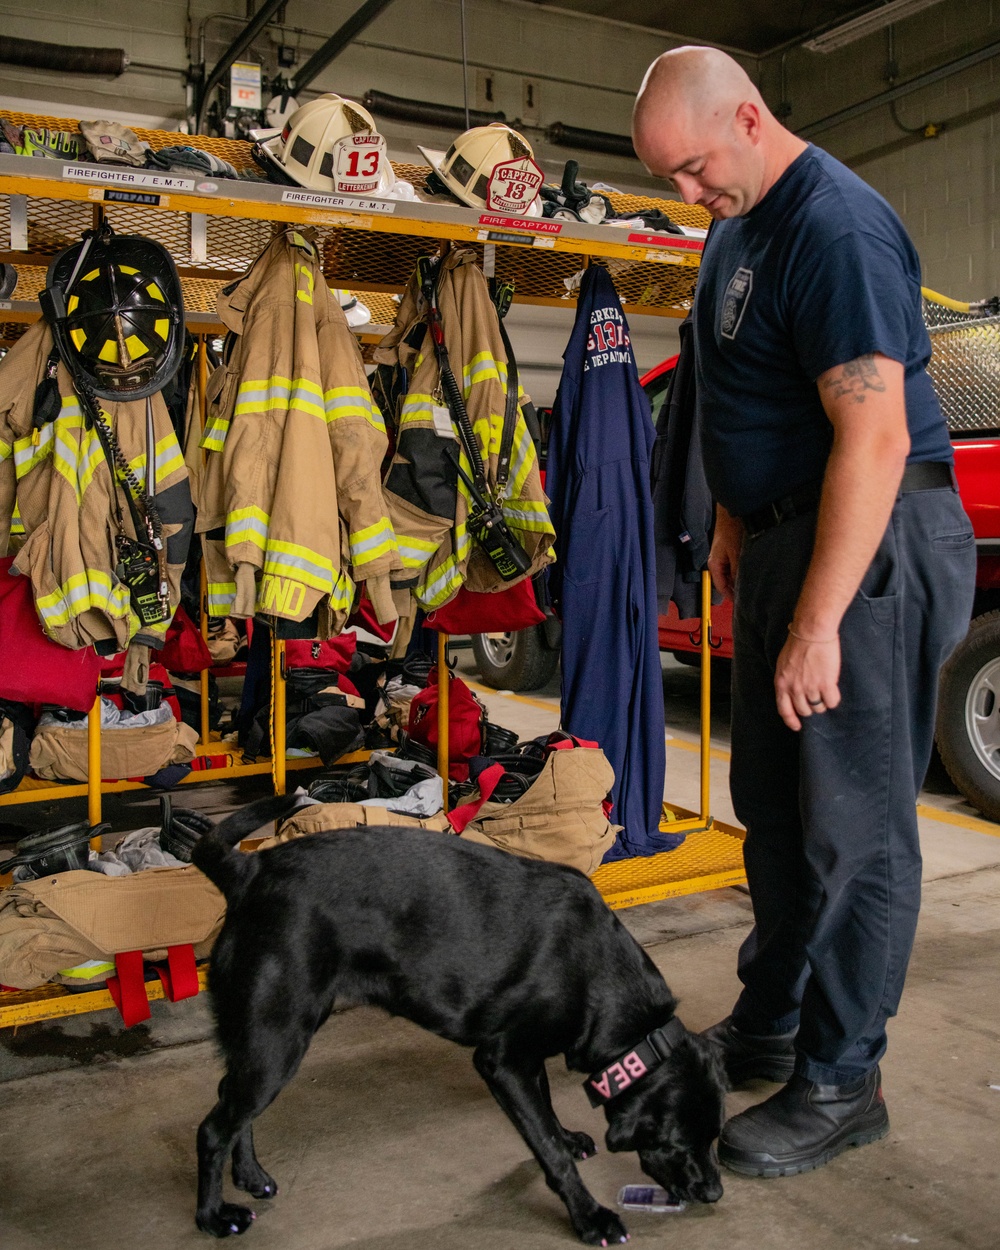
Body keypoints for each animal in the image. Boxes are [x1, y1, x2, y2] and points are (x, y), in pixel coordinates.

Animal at [191, 795, 725, 1245]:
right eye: (678, 1142)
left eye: (715, 1135)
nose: (716, 1193)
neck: (600, 975)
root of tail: (249, 869)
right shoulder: (502, 1061)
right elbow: (549, 1151)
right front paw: (589, 1217)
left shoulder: (526, 1056)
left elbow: (548, 1111)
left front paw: (567, 1136)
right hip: (278, 1037)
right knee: (214, 1128)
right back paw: (214, 1217)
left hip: (266, 1036)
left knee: (228, 1099)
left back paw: (250, 1177)